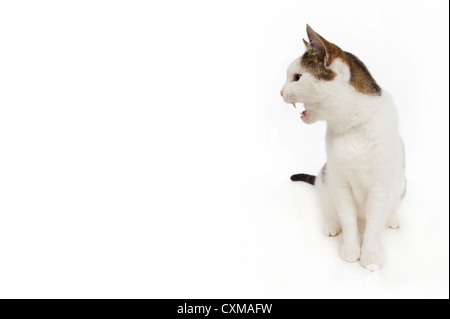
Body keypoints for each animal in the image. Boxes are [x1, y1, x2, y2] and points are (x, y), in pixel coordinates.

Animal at [280, 24, 406, 272]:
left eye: (297, 77)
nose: (280, 92)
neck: (351, 124)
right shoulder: (339, 182)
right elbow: (347, 219)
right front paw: (350, 248)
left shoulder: (380, 187)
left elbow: (375, 224)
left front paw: (370, 254)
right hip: (324, 178)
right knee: (333, 209)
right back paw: (332, 224)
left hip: (401, 183)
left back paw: (391, 219)